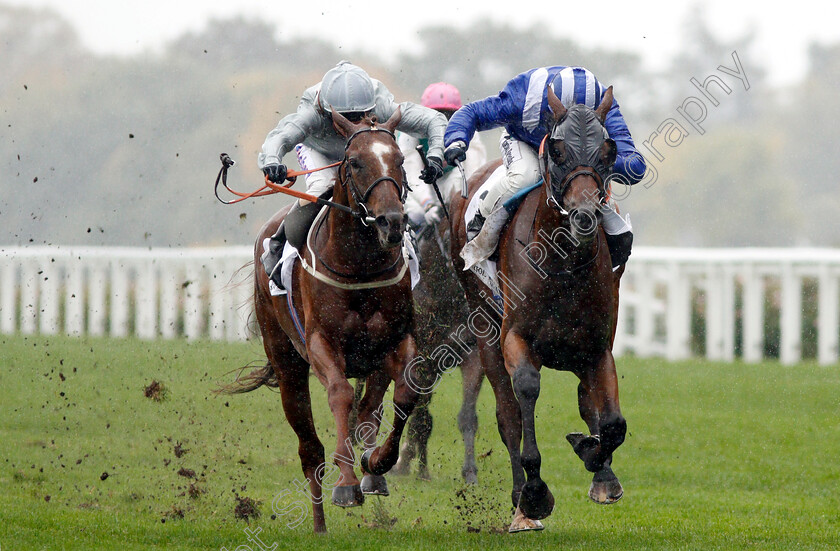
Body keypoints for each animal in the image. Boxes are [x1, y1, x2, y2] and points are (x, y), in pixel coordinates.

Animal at [230, 109, 420, 536]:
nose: (392, 222)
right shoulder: (321, 344)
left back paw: (371, 474)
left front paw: (377, 463)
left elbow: (405, 395)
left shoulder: (395, 342)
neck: (359, 265)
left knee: (368, 412)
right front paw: (346, 484)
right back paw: (319, 524)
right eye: (355, 162)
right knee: (310, 450)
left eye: (400, 160)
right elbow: (340, 395)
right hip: (287, 364)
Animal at [450, 88, 628, 532]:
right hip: (485, 334)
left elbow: (610, 422)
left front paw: (595, 461)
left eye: (609, 150)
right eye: (559, 150)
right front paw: (533, 494)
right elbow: (525, 396)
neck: (563, 265)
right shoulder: (515, 338)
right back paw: (519, 505)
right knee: (507, 415)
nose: (585, 216)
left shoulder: (596, 348)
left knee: (587, 401)